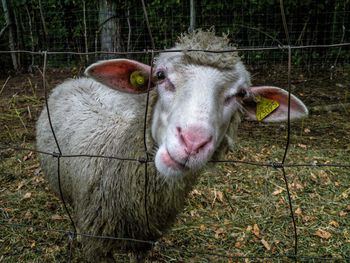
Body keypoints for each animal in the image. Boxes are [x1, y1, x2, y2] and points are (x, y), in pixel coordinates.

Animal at [37, 29, 308, 262]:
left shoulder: (144, 241)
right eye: (160, 75)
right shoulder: (96, 244)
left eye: (241, 94)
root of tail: (76, 79)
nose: (192, 142)